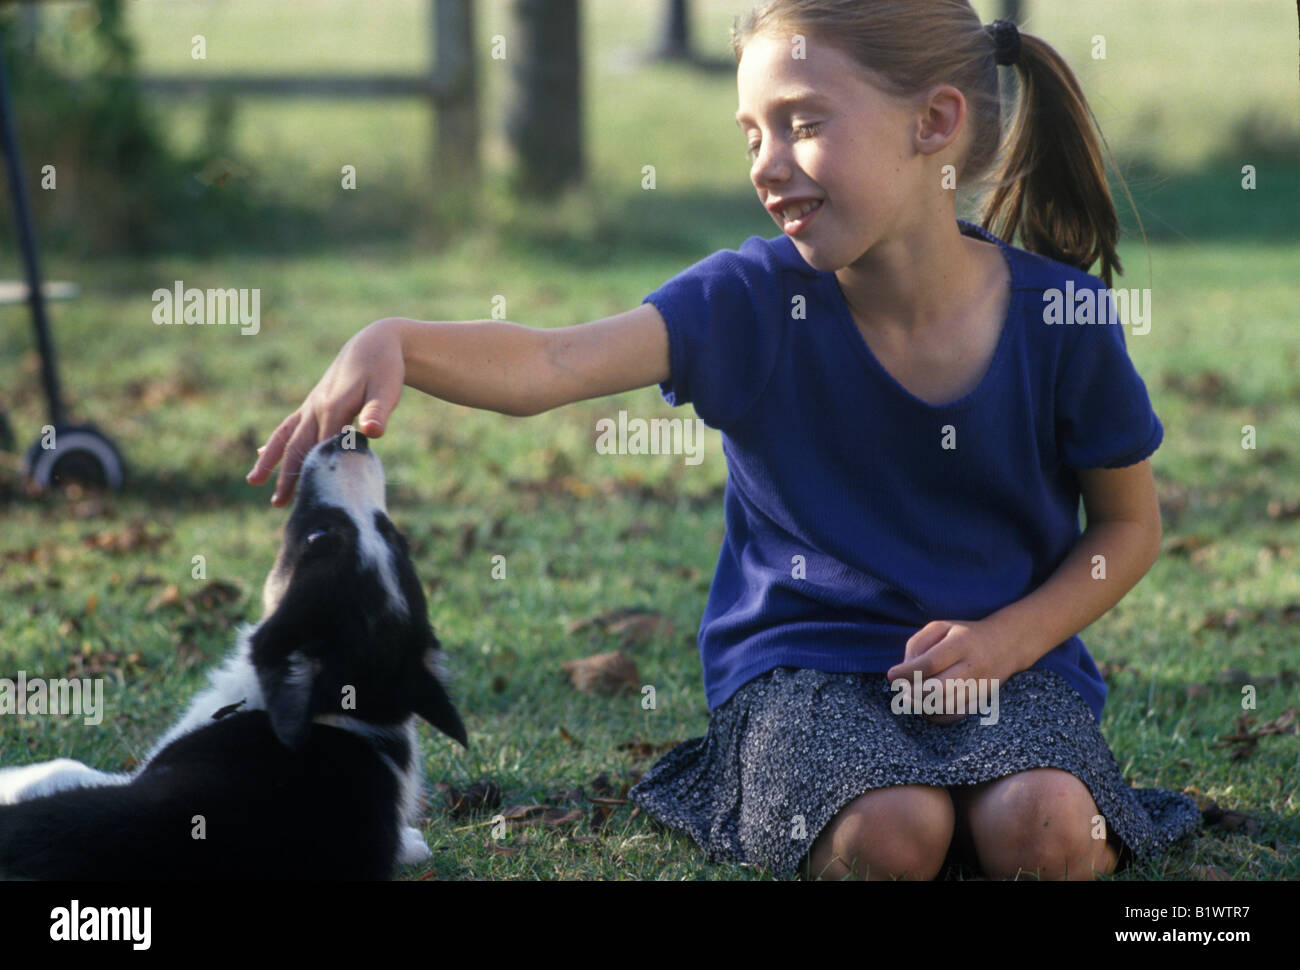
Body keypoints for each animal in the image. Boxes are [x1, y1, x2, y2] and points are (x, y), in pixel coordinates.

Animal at [0, 431, 467, 878]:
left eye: (317, 538)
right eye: (396, 537)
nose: (354, 438)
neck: (340, 710)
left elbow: (61, 767)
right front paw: (412, 843)